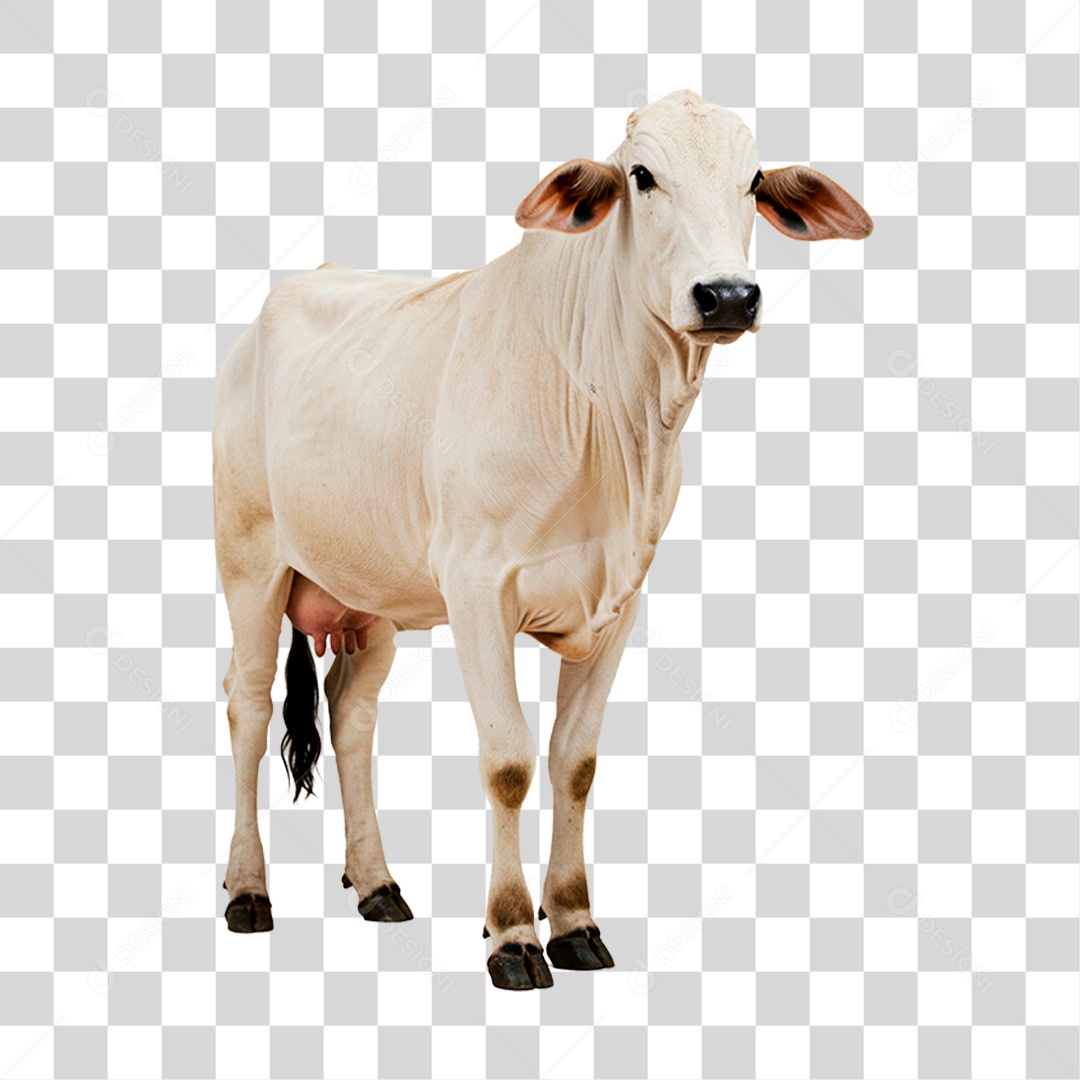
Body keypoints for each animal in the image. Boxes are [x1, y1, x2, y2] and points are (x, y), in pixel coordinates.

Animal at [213, 89, 872, 990]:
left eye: (753, 180)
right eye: (642, 176)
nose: (729, 296)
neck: (613, 422)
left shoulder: (620, 600)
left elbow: (574, 763)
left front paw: (575, 921)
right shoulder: (477, 592)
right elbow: (510, 763)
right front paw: (513, 933)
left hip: (372, 595)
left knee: (352, 715)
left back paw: (377, 881)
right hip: (250, 560)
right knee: (246, 709)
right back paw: (247, 890)